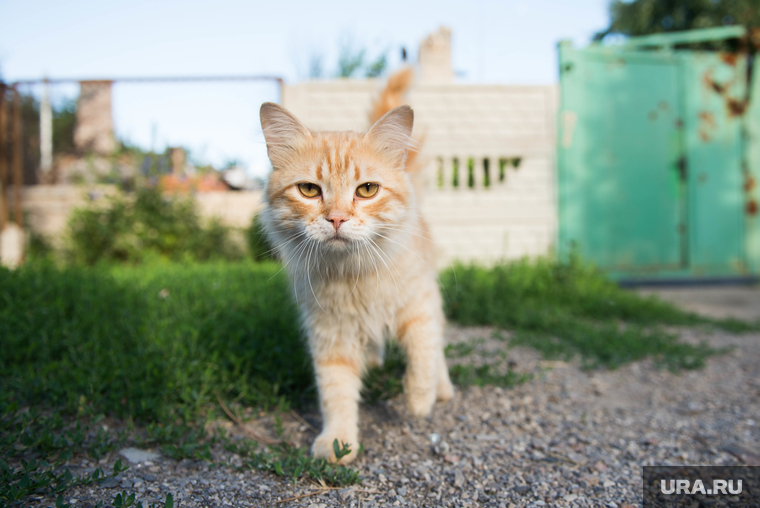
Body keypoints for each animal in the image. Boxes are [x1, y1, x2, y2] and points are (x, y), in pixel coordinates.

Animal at [258, 91, 454, 464]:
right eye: (309, 190)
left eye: (367, 190)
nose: (336, 219)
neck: (353, 275)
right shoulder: (330, 335)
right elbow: (336, 392)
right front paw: (337, 443)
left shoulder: (419, 307)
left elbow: (423, 355)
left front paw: (418, 401)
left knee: (437, 349)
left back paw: (443, 389)